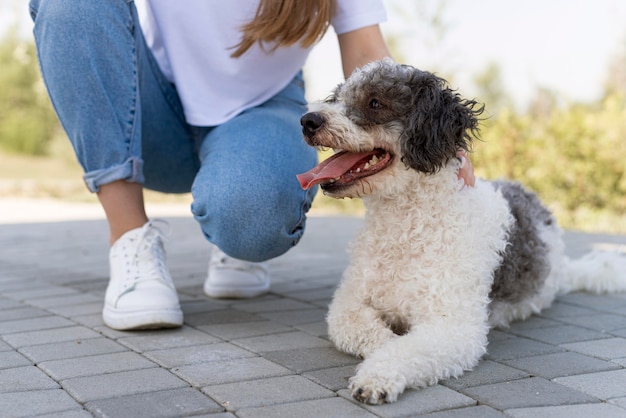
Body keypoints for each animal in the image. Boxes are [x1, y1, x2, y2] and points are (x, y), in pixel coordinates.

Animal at [294, 57, 624, 404]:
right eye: (337, 97)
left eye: (375, 102)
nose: (308, 120)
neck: (407, 228)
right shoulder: (348, 304)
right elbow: (366, 330)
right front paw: (384, 344)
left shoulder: (453, 326)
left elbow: (405, 349)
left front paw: (376, 376)